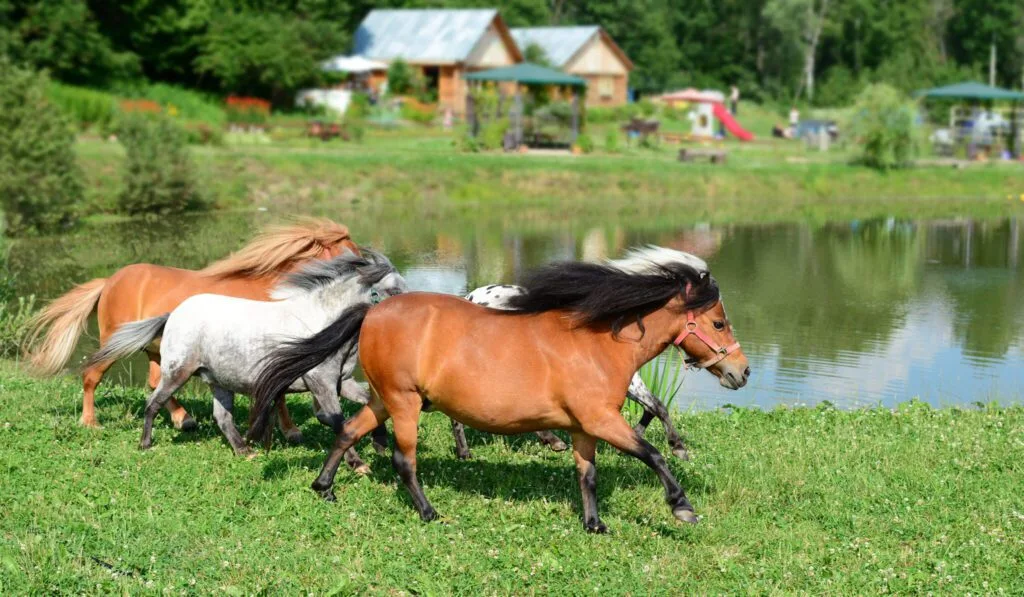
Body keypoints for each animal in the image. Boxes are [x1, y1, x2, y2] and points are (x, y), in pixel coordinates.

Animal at [24, 218, 360, 435]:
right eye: (354, 256)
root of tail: (109, 281)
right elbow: (276, 392)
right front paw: (292, 431)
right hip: (116, 345)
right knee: (93, 375)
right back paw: (91, 422)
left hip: (157, 350)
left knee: (155, 383)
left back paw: (183, 420)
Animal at [84, 250, 406, 467]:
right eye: (393, 289)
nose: (406, 317)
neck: (320, 320)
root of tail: (173, 314)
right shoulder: (321, 383)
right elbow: (337, 421)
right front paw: (359, 464)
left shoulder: (343, 381)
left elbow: (367, 402)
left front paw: (379, 444)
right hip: (178, 373)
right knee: (153, 401)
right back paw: (146, 443)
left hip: (218, 381)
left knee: (222, 416)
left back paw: (244, 450)